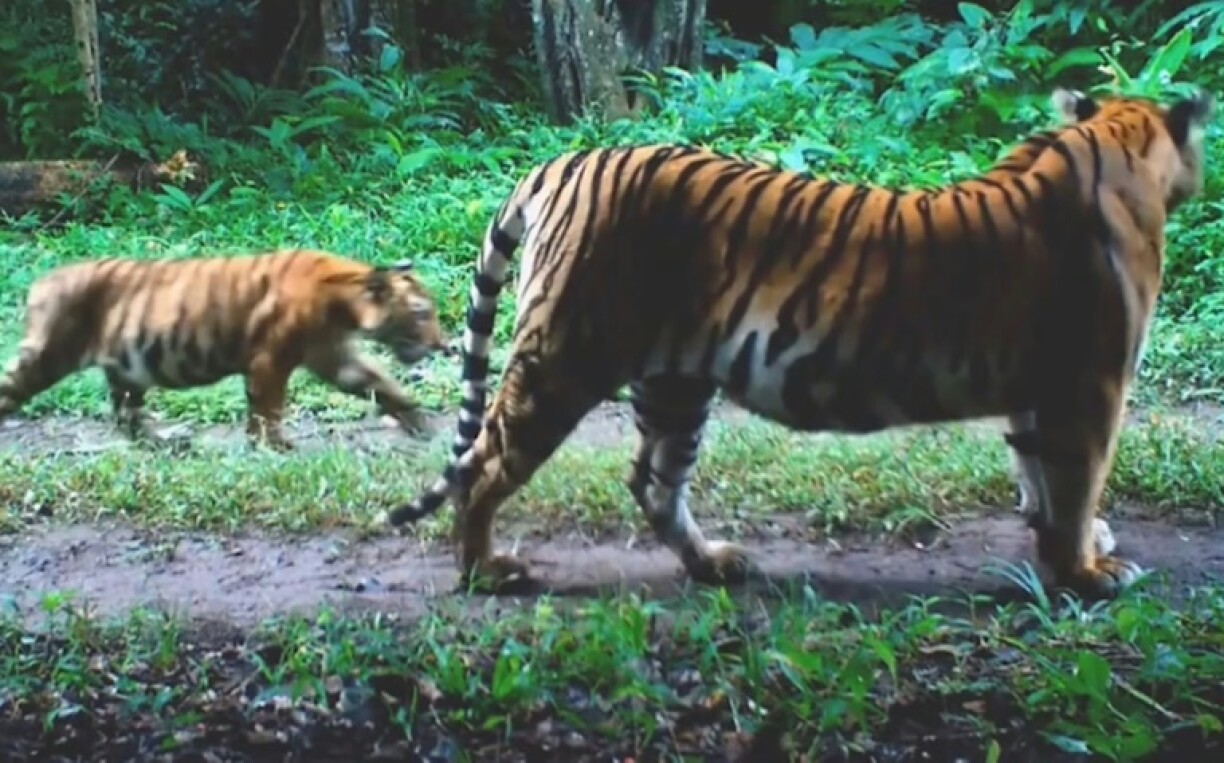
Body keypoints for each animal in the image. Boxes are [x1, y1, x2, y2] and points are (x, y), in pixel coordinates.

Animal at [0, 248, 447, 451]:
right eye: (421, 313)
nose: (442, 344)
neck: (344, 306)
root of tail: (40, 282)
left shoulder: (332, 355)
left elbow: (380, 384)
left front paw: (421, 423)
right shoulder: (270, 360)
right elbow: (267, 408)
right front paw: (272, 447)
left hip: (130, 369)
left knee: (125, 414)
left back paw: (165, 443)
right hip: (48, 355)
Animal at [383, 86, 1212, 600]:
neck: (1114, 138)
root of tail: (568, 159)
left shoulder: (1037, 391)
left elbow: (1038, 477)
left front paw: (1063, 550)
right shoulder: (1090, 385)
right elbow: (1075, 482)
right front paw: (1087, 571)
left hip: (675, 380)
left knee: (653, 481)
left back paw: (714, 562)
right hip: (564, 355)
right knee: (484, 464)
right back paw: (486, 569)